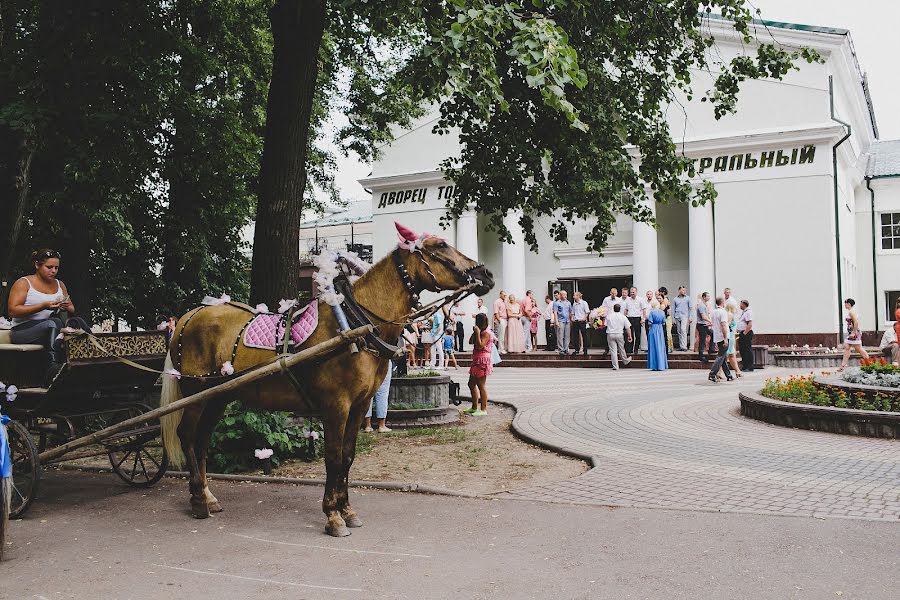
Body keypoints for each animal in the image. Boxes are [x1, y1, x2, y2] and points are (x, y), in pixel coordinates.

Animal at [163, 224, 492, 536]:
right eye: (440, 245)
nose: (486, 274)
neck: (356, 323)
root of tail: (189, 316)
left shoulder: (360, 405)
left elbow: (347, 457)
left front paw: (347, 510)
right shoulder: (336, 406)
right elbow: (332, 458)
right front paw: (333, 516)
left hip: (218, 396)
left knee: (202, 440)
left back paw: (208, 496)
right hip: (196, 394)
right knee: (187, 435)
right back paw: (198, 500)